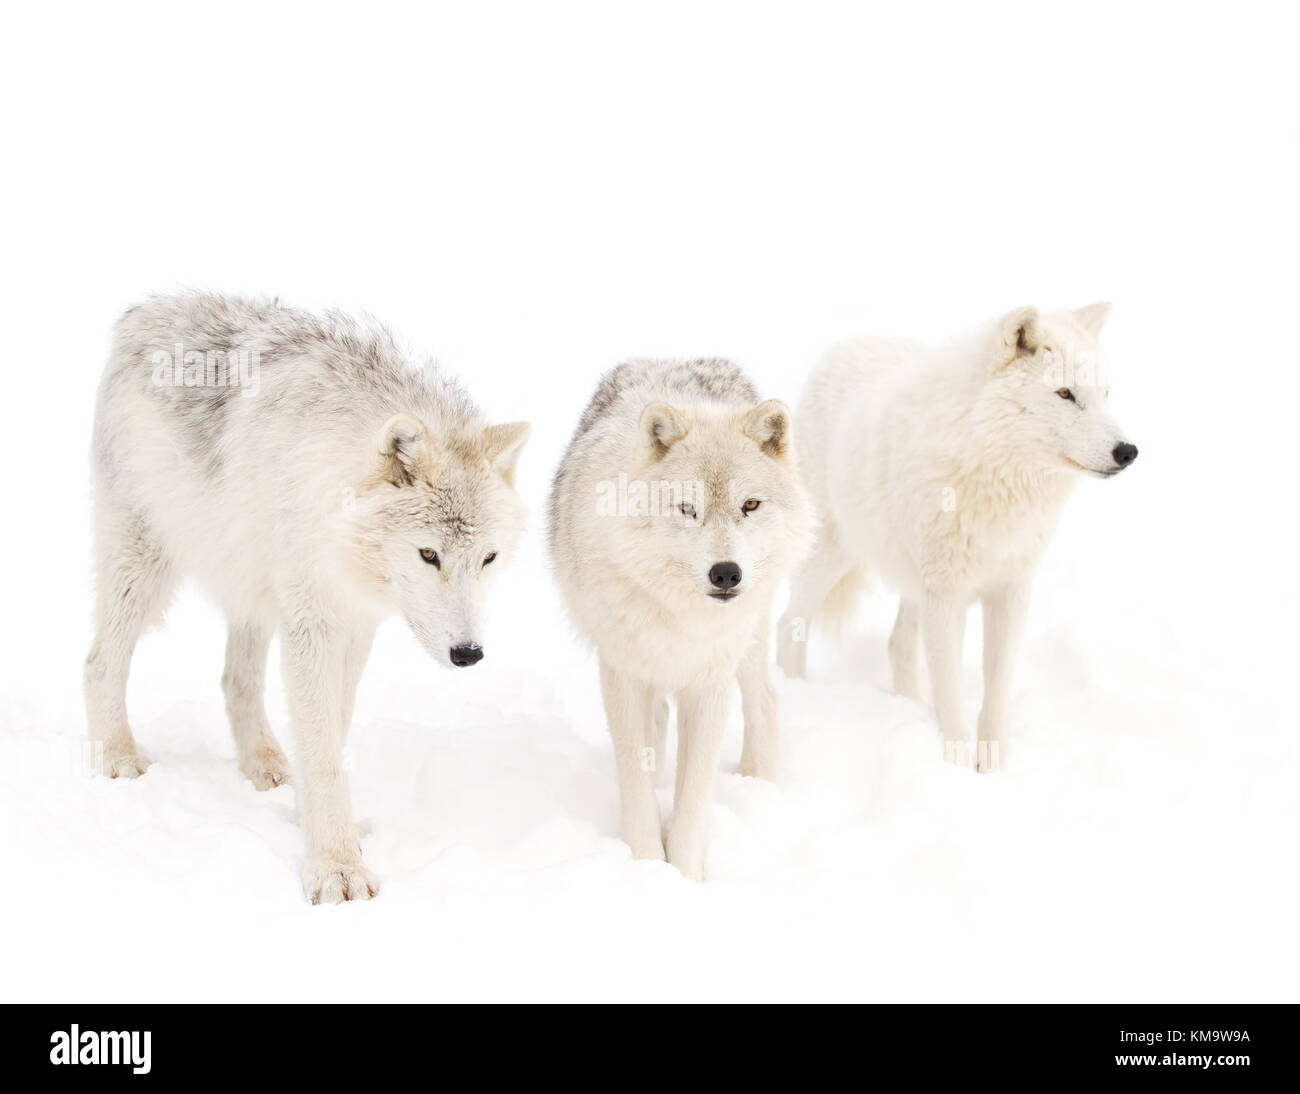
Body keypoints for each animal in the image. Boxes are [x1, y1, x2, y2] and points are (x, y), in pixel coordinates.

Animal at [85, 293, 527, 899]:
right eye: (428, 555)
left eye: (488, 558)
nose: (468, 654)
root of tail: (145, 309)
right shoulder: (313, 622)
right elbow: (322, 755)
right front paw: (336, 868)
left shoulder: (355, 623)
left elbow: (331, 735)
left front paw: (312, 824)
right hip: (145, 565)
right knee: (100, 661)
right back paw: (118, 758)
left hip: (251, 588)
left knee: (236, 679)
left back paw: (266, 766)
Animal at [548, 358, 811, 878]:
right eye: (688, 508)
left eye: (750, 505)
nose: (726, 573)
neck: (681, 616)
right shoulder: (624, 674)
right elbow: (636, 778)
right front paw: (647, 865)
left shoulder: (709, 682)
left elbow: (693, 795)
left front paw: (685, 875)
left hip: (750, 643)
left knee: (766, 699)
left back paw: (758, 785)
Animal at [780, 302, 1138, 769]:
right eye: (1065, 394)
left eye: (1105, 395)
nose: (1128, 452)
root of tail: (845, 344)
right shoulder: (947, 596)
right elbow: (950, 695)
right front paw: (957, 765)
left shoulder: (1010, 591)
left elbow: (996, 688)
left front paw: (994, 764)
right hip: (832, 555)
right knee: (788, 624)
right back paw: (796, 691)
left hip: (910, 583)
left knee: (898, 644)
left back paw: (908, 707)